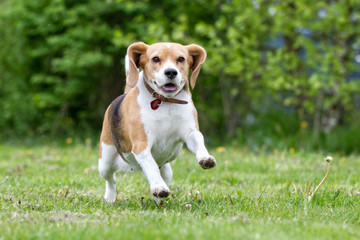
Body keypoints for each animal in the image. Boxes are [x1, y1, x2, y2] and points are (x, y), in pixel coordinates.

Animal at [98, 41, 215, 202]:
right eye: (155, 59)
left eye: (181, 59)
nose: (171, 72)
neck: (165, 102)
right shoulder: (141, 145)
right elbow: (151, 166)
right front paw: (159, 187)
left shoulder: (190, 132)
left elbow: (198, 139)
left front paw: (205, 157)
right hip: (105, 161)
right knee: (111, 179)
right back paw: (109, 198)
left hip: (166, 169)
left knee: (163, 173)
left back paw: (160, 202)